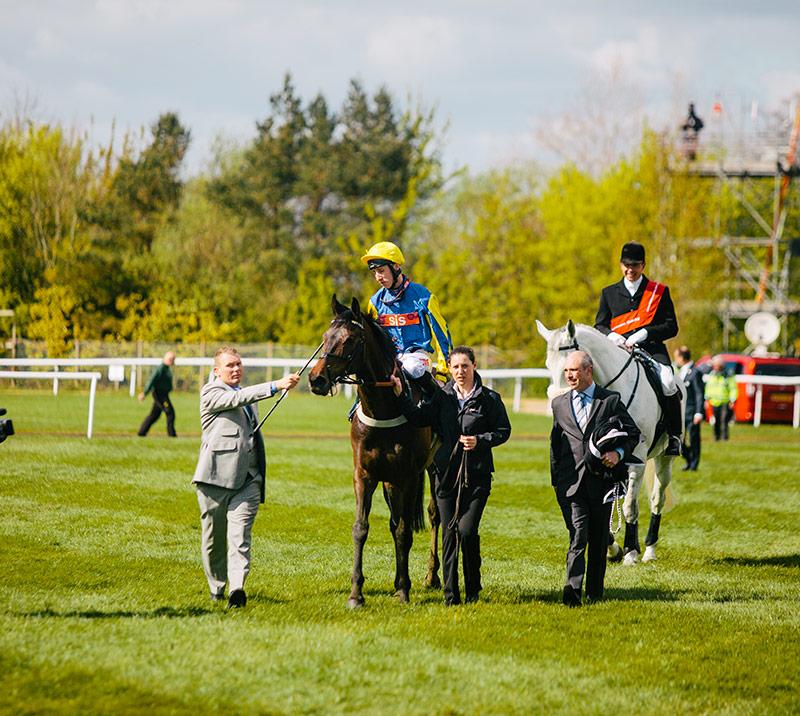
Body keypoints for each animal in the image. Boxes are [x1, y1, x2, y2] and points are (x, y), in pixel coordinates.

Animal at [308, 295, 441, 608]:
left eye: (349, 340)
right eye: (325, 337)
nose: (316, 379)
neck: (384, 409)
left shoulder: (407, 476)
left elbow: (405, 531)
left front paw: (404, 590)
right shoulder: (365, 475)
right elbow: (362, 528)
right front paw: (356, 593)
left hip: (434, 467)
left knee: (433, 514)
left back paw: (432, 576)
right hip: (389, 481)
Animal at [536, 319, 685, 564]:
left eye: (569, 366)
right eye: (548, 364)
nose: (557, 401)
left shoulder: (636, 461)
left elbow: (630, 506)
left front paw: (630, 552)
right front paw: (613, 548)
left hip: (665, 459)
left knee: (657, 498)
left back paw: (649, 550)